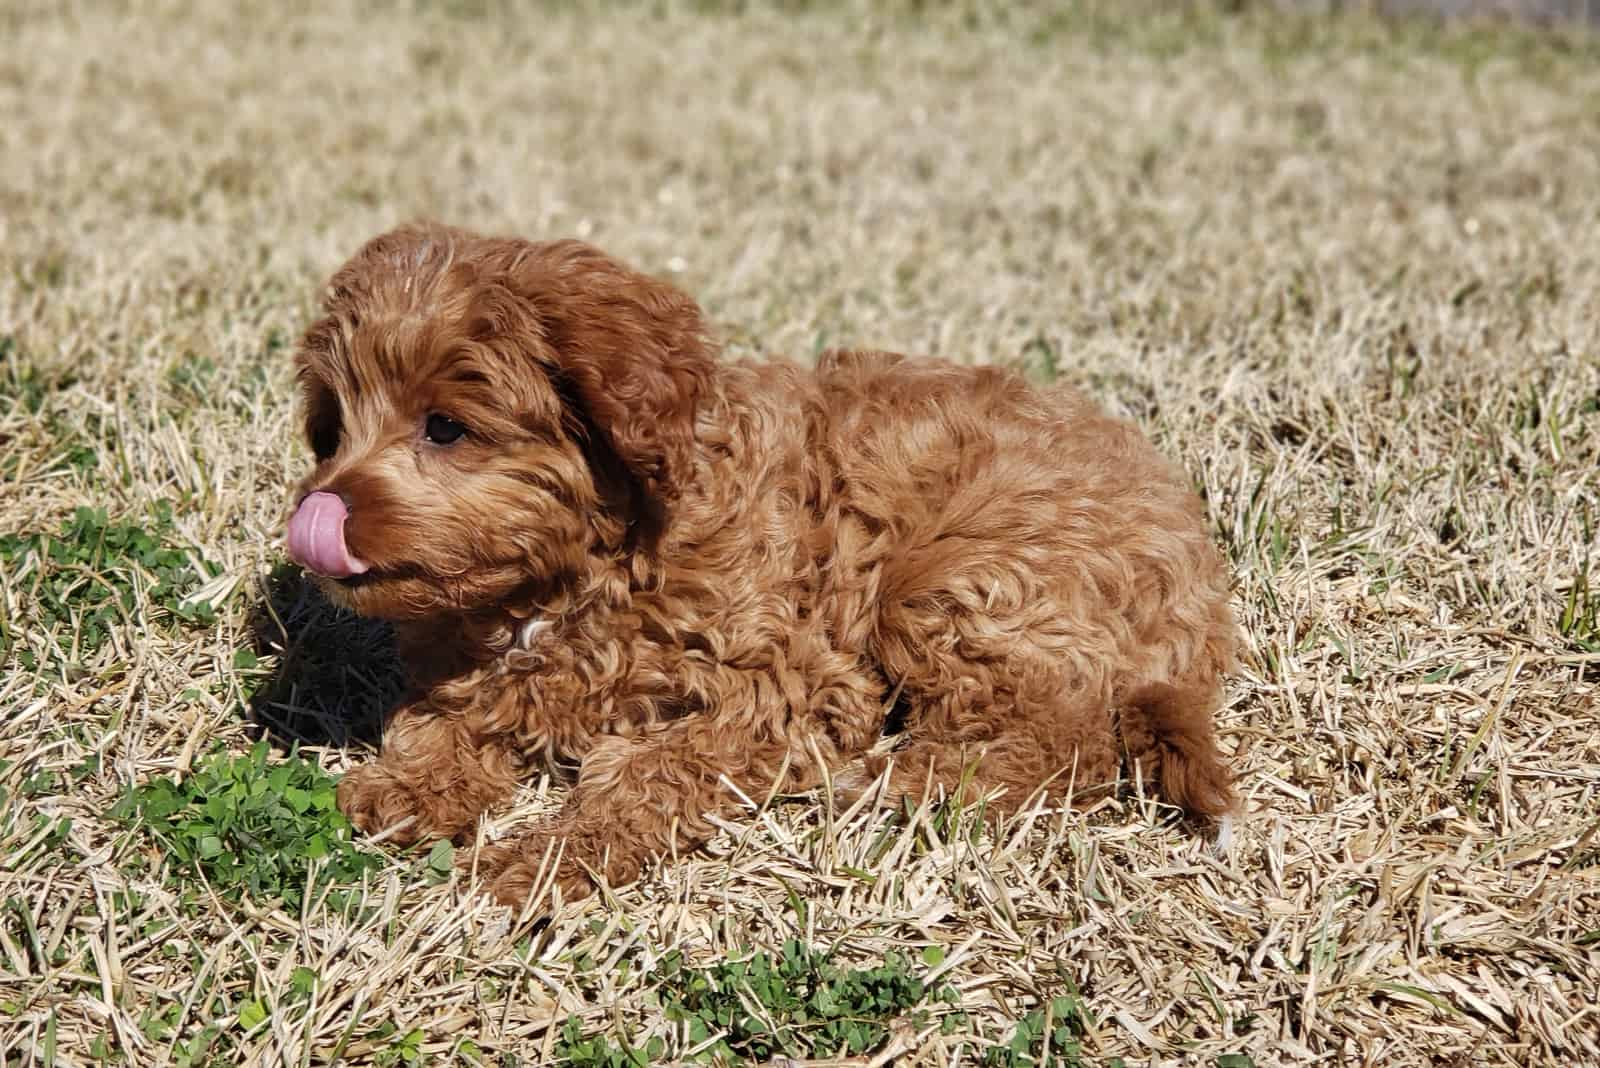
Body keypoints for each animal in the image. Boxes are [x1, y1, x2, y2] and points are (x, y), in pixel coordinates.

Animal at [284, 220, 1235, 908]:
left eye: (445, 427)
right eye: (333, 426)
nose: (317, 516)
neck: (583, 568)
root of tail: (1198, 580)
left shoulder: (791, 687)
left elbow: (647, 767)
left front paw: (548, 858)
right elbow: (441, 717)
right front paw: (403, 787)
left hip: (952, 581)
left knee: (1067, 741)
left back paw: (895, 781)